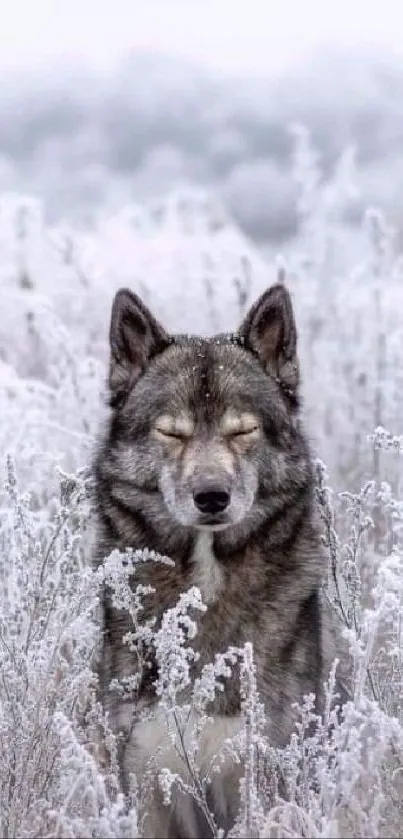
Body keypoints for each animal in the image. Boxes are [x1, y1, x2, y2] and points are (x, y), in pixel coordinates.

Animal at [93, 284, 348, 839]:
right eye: (172, 433)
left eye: (242, 430)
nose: (212, 496)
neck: (206, 585)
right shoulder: (147, 782)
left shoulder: (261, 778)